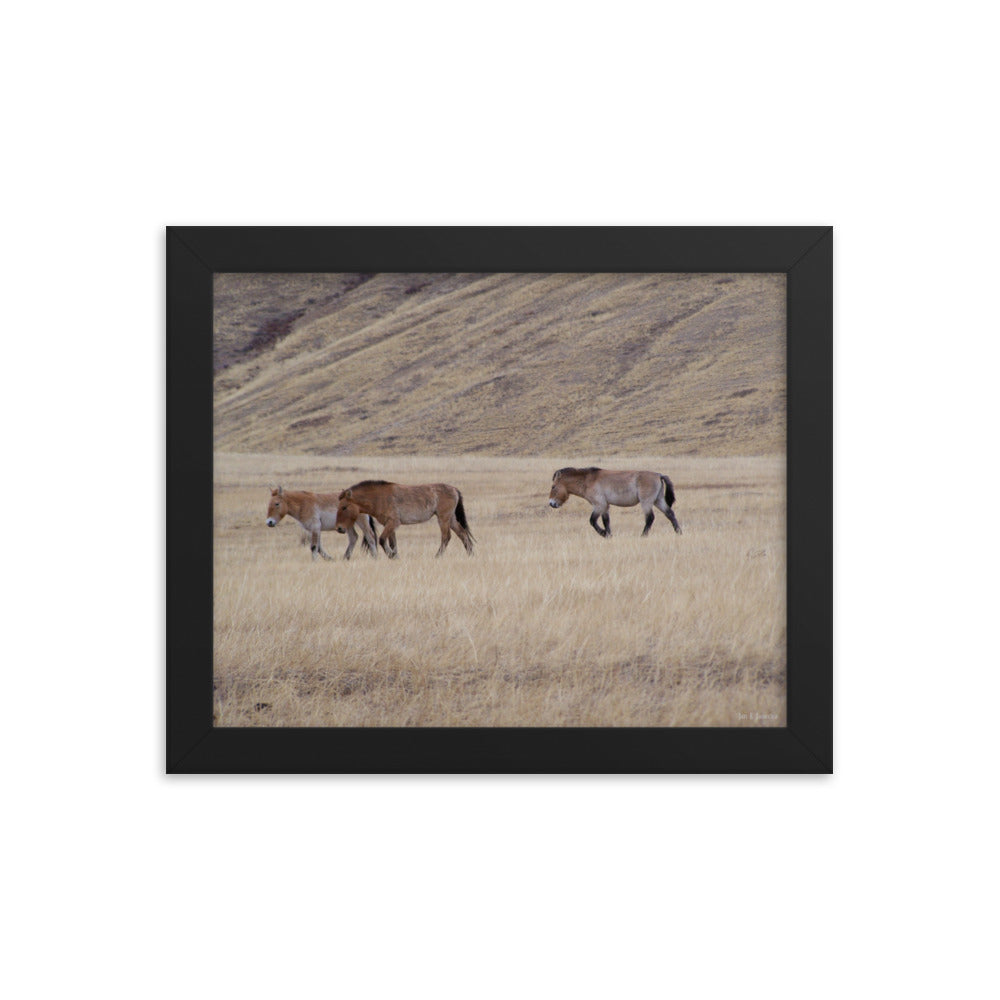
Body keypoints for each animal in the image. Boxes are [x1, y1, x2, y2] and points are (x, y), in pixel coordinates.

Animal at [338, 480, 474, 560]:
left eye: (344, 507)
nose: (339, 528)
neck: (380, 497)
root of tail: (454, 489)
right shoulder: (390, 525)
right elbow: (393, 543)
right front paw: (395, 556)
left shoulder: (393, 522)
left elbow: (382, 540)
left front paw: (391, 555)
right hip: (451, 519)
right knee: (462, 534)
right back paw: (470, 554)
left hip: (443, 518)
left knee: (446, 537)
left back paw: (437, 556)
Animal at [548, 468, 680, 540]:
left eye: (553, 487)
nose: (551, 503)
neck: (588, 480)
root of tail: (659, 475)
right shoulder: (605, 506)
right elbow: (606, 522)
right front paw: (609, 535)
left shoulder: (599, 505)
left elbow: (592, 521)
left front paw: (603, 533)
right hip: (658, 501)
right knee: (670, 514)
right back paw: (679, 532)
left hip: (646, 502)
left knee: (650, 518)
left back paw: (643, 536)